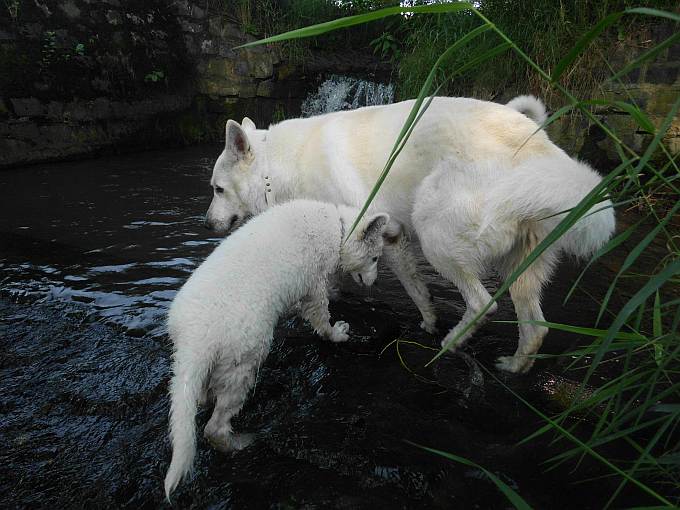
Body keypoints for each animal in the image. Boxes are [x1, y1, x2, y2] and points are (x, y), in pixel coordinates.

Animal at [162, 199, 390, 498]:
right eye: (375, 258)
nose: (375, 283)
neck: (338, 226)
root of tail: (194, 339)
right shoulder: (315, 283)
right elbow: (321, 316)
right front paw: (337, 333)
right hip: (245, 358)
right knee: (215, 428)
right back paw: (240, 443)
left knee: (201, 397)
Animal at [414, 153, 616, 372]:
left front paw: (428, 322)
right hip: (520, 271)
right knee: (536, 328)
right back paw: (515, 366)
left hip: (435, 241)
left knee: (482, 304)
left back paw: (451, 342)